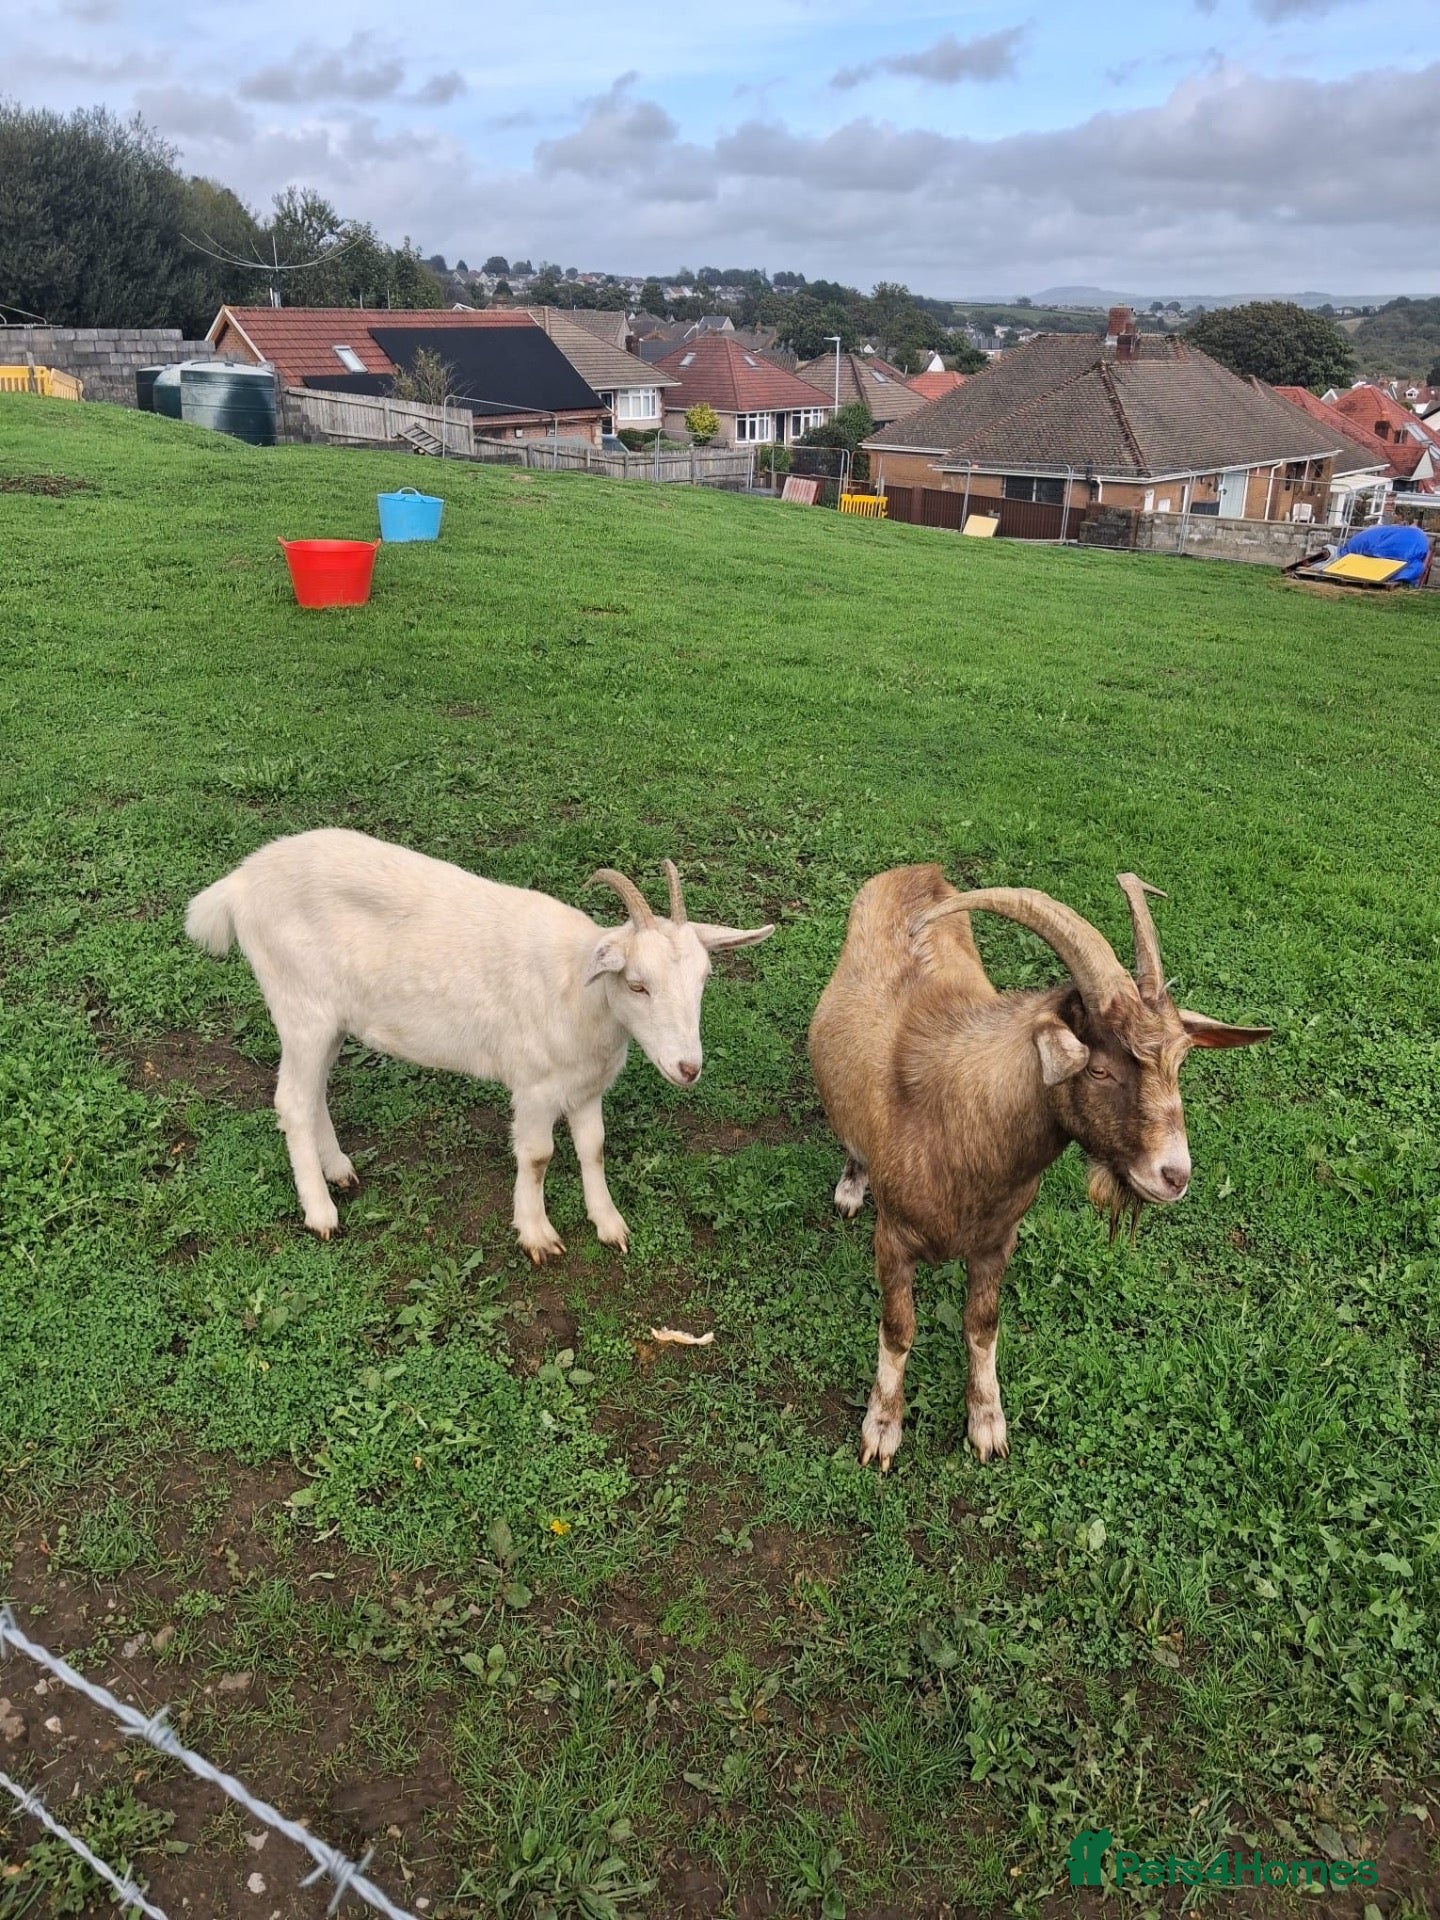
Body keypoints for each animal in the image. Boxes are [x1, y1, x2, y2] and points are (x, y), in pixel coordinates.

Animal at [186, 829, 773, 1258]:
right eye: (636, 984)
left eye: (703, 979)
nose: (688, 1067)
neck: (577, 989)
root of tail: (238, 884)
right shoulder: (535, 1086)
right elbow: (537, 1156)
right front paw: (536, 1234)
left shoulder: (586, 1087)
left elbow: (594, 1148)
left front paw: (609, 1224)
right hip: (300, 1007)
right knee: (291, 1101)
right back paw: (321, 1213)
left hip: (331, 1019)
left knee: (312, 1096)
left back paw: (339, 1171)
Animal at [808, 867, 1269, 1469]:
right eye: (1098, 1070)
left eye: (1178, 1062)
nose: (1175, 1175)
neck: (956, 1119)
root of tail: (916, 872)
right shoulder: (893, 1238)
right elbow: (899, 1329)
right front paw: (882, 1428)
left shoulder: (998, 1241)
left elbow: (982, 1327)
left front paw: (987, 1425)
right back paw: (850, 1185)